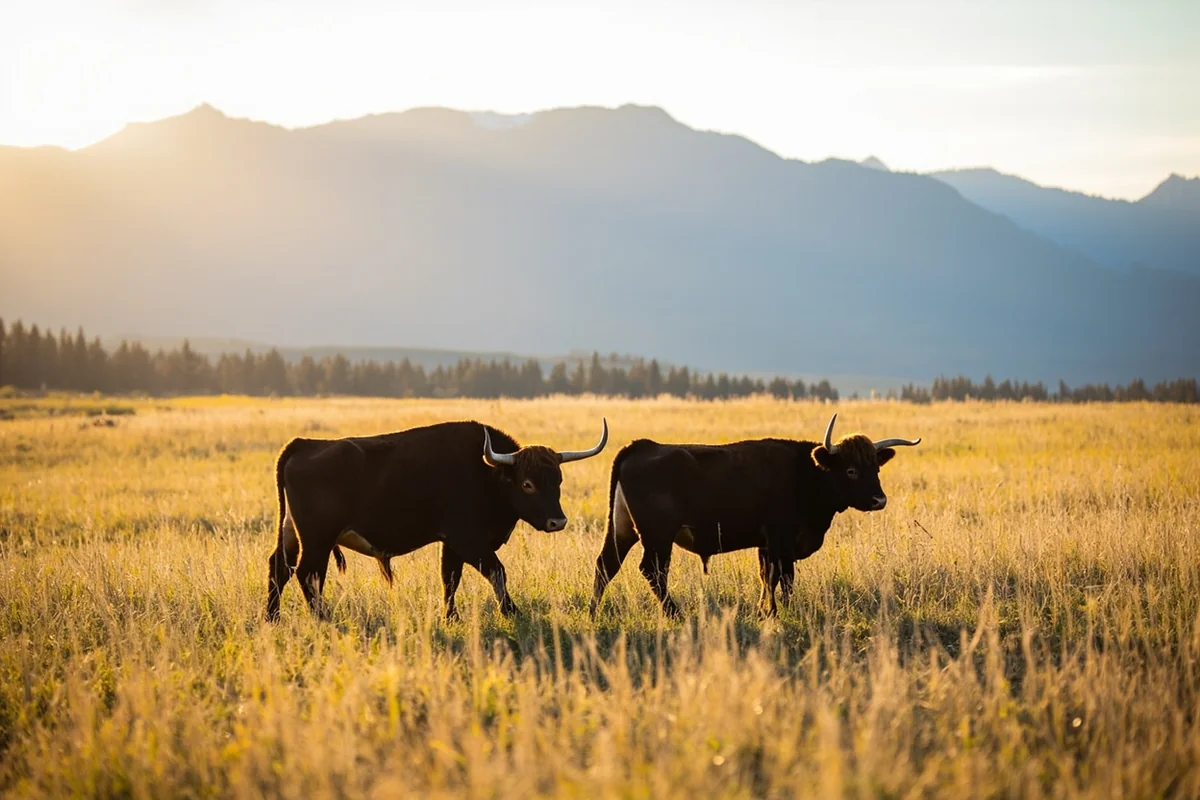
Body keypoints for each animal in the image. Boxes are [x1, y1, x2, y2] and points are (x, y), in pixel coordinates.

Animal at [266, 419, 608, 621]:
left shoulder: (452, 544)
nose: (557, 521)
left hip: (292, 534)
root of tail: (303, 444)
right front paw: (511, 611)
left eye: (558, 480)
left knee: (280, 569)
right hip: (318, 541)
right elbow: (496, 571)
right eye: (528, 484)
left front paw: (451, 617)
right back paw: (322, 618)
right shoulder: (468, 541)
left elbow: (450, 578)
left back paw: (272, 618)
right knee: (308, 574)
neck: (486, 473)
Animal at [589, 413, 920, 619]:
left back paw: (593, 613)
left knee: (606, 565)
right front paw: (779, 611)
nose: (879, 500)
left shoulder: (766, 544)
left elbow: (766, 577)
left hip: (622, 530)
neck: (806, 472)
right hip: (658, 537)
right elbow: (782, 578)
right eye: (851, 470)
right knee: (652, 571)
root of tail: (641, 447)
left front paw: (765, 610)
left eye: (875, 467)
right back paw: (674, 613)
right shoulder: (781, 541)